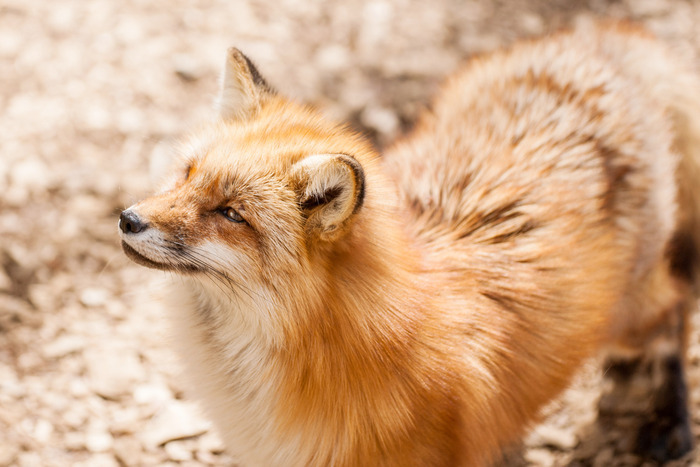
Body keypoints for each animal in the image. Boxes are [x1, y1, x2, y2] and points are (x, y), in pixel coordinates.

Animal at [119, 20, 700, 466]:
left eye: (230, 214)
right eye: (187, 175)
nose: (127, 219)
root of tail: (599, 42)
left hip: (628, 317)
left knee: (674, 312)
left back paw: (669, 418)